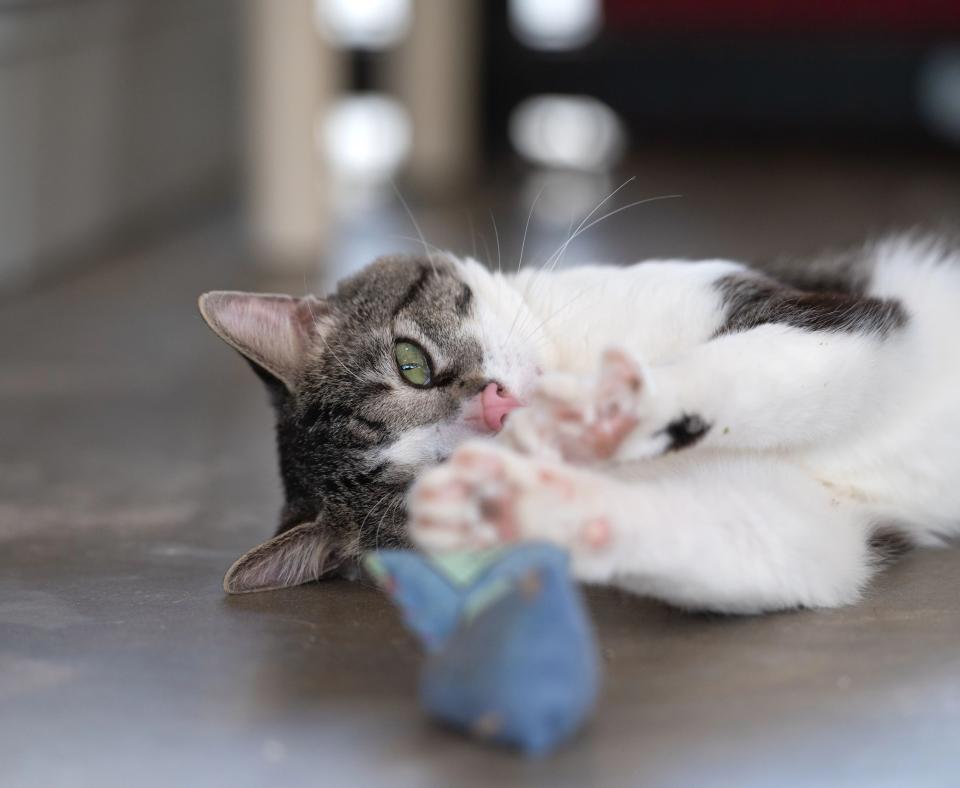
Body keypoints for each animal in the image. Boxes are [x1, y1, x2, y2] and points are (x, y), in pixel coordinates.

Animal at [199, 231, 960, 612]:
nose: (499, 407)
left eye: (412, 363)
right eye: (439, 474)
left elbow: (762, 360)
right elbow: (744, 541)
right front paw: (534, 506)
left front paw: (612, 404)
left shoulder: (850, 317)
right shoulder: (810, 517)